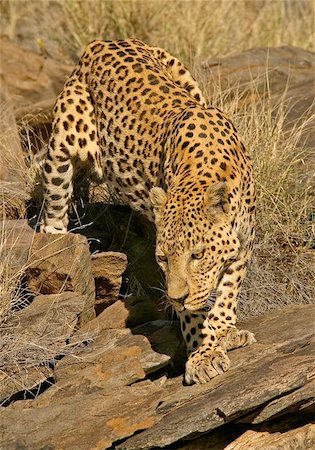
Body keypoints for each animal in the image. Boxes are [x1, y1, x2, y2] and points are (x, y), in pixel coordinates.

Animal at [40, 37, 256, 384]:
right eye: (163, 259)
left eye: (197, 255)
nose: (177, 298)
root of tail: (104, 41)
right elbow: (195, 316)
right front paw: (204, 354)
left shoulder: (244, 244)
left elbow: (226, 293)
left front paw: (224, 331)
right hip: (64, 139)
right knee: (56, 195)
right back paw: (56, 237)